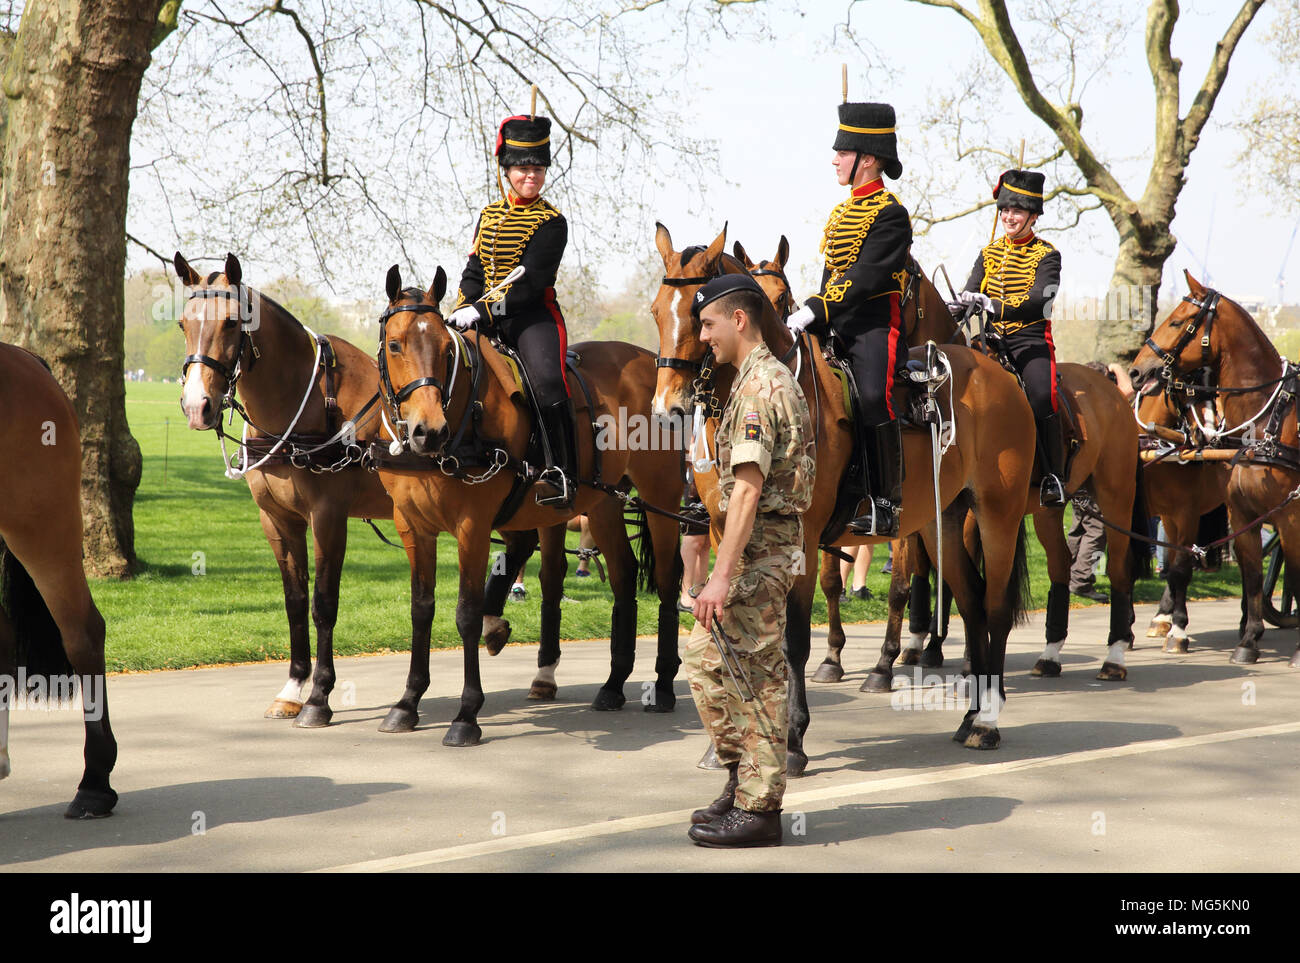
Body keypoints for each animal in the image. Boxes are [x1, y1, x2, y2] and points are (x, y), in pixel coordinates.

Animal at [371, 262, 686, 743]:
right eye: (394, 345)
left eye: (446, 349)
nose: (429, 431)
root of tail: (651, 364)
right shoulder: (413, 526)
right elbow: (421, 610)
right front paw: (408, 702)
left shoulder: (472, 527)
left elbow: (466, 612)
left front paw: (466, 714)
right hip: (603, 504)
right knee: (623, 577)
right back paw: (614, 684)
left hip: (660, 498)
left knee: (667, 580)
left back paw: (664, 685)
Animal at [655, 222, 1040, 764]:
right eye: (655, 311)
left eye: (697, 316)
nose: (667, 410)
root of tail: (997, 373)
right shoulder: (721, 531)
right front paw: (722, 746)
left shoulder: (801, 536)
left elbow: (794, 639)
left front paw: (793, 739)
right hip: (942, 523)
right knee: (972, 603)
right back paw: (970, 715)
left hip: (997, 514)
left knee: (996, 609)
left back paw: (986, 720)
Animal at [1128, 266, 1300, 665]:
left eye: (1177, 321)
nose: (1137, 371)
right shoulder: (1230, 513)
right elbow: (1247, 573)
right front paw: (1247, 639)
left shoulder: (1285, 515)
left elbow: (1180, 568)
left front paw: (1179, 629)